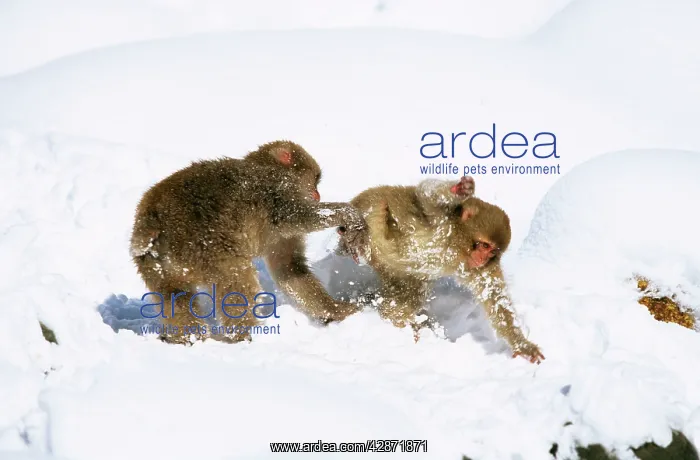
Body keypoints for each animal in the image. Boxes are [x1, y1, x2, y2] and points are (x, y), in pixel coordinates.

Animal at [130, 140, 368, 344]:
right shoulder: (277, 191)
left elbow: (288, 268)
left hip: (155, 263)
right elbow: (301, 217)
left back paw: (185, 338)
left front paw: (334, 310)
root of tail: (151, 218)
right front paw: (347, 214)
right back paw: (244, 334)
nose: (317, 195)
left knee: (174, 296)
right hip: (204, 246)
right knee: (237, 280)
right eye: (316, 179)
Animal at [337, 176, 545, 364]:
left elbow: (495, 299)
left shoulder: (481, 268)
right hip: (364, 213)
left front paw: (522, 345)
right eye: (484, 245)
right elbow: (427, 193)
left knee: (400, 306)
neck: (455, 245)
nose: (482, 259)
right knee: (378, 205)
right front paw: (458, 190)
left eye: (492, 251)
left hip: (398, 276)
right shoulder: (441, 220)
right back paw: (357, 243)